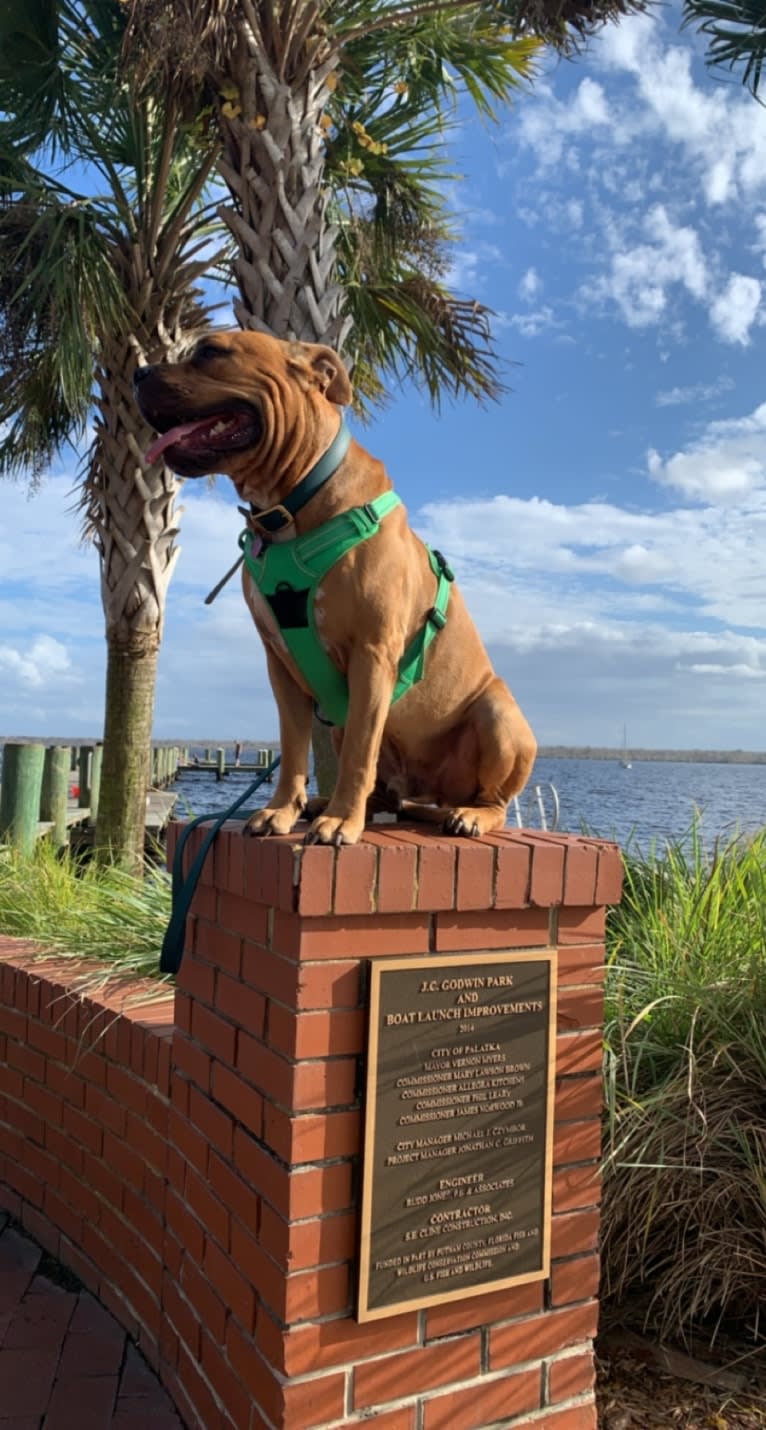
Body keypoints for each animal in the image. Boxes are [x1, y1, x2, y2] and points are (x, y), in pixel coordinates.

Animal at [134, 331, 534, 846]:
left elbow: (360, 754)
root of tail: (431, 794)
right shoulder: (280, 665)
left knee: (493, 799)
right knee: (382, 790)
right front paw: (282, 810)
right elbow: (293, 746)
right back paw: (325, 803)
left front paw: (343, 821)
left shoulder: (372, 654)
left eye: (210, 351)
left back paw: (467, 814)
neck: (291, 503)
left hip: (496, 711)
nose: (138, 373)